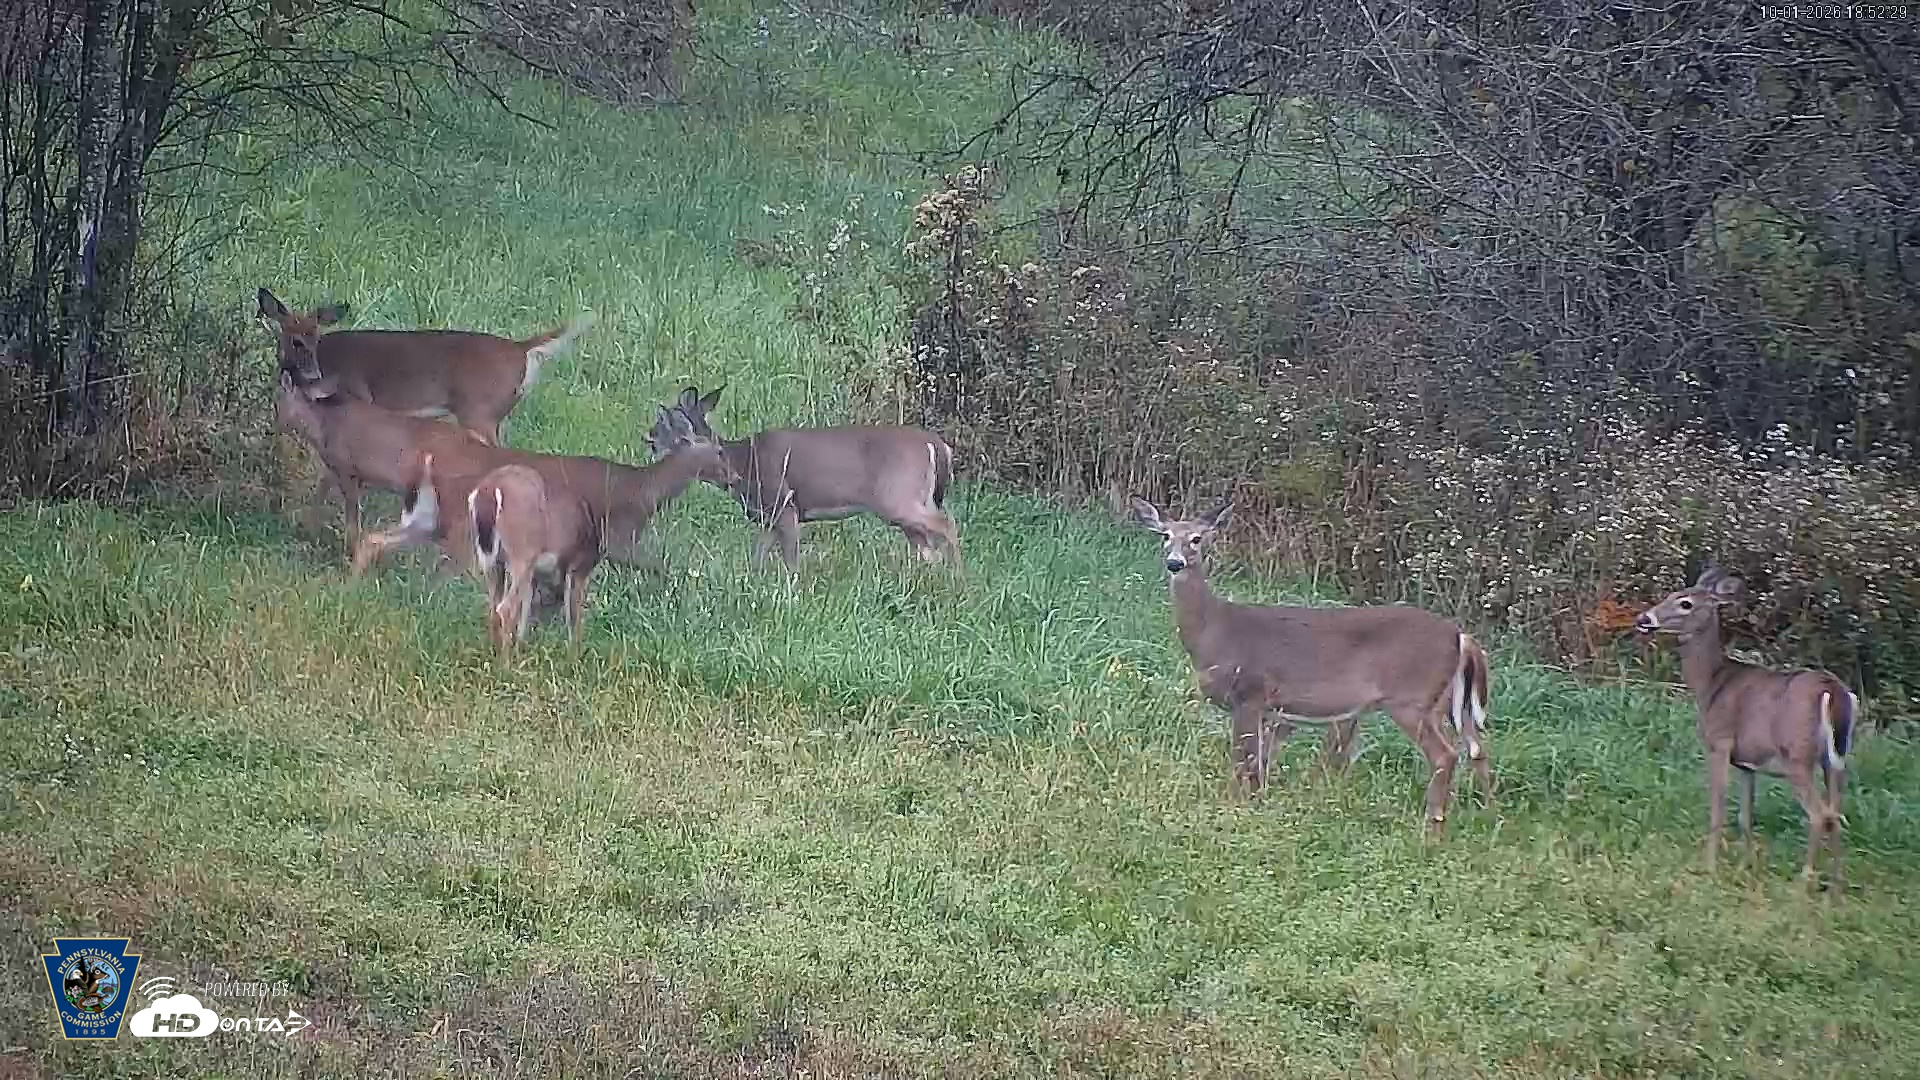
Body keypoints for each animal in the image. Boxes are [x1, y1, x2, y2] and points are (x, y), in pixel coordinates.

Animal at [257, 286, 594, 447]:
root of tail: (520, 349)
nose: (312, 371)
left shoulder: (359, 395)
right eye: (296, 340)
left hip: (478, 410)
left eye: (314, 339)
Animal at [649, 385, 960, 573]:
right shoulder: (767, 517)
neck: (743, 462)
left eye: (664, 420)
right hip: (911, 501)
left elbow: (791, 560)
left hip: (896, 495)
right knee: (928, 546)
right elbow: (757, 558)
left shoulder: (784, 503)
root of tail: (937, 444)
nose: (648, 438)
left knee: (946, 524)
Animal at [1130, 498, 1494, 836]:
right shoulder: (1274, 711)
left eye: (1196, 538)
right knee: (1476, 749)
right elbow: (1260, 764)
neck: (1216, 631)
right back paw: (1485, 816)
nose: (1174, 563)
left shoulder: (1249, 692)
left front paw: (1236, 809)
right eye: (1165, 535)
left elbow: (1242, 760)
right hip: (1444, 705)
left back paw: (1431, 828)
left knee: (1445, 755)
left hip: (1410, 700)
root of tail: (1460, 635)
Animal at [1634, 566, 1858, 891]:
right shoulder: (1746, 762)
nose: (1644, 619)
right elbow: (1745, 816)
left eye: (1685, 603)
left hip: (1797, 756)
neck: (1711, 682)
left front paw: (1710, 868)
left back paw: (1803, 881)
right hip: (1836, 759)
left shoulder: (1719, 743)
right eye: (1671, 594)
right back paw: (1836, 886)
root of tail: (1834, 693)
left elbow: (1718, 809)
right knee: (1835, 813)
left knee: (1819, 814)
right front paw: (1746, 867)